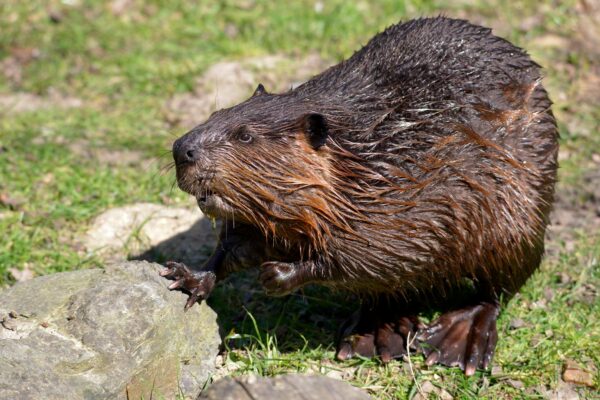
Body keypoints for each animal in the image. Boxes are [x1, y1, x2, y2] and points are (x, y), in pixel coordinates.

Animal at [161, 17, 556, 376]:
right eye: (217, 112)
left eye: (245, 135)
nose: (182, 150)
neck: (362, 155)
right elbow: (235, 246)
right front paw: (186, 276)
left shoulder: (415, 195)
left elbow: (381, 256)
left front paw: (276, 274)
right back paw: (377, 335)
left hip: (520, 221)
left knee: (496, 290)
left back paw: (455, 338)